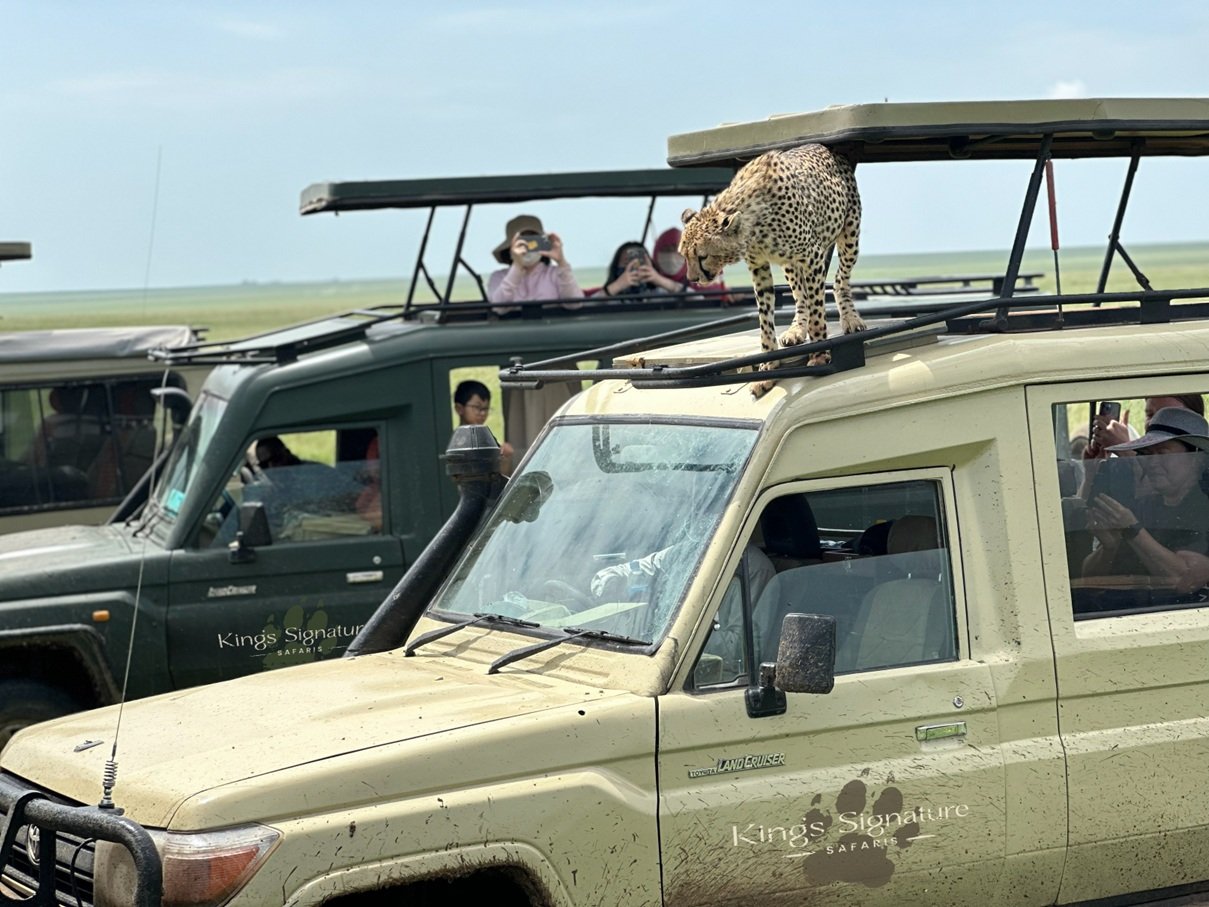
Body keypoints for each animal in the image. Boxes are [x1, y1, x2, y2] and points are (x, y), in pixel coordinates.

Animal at [679, 143, 865, 397]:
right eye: (683, 255)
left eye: (702, 256)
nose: (693, 279)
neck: (753, 225)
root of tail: (829, 149)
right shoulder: (759, 267)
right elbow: (765, 320)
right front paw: (768, 367)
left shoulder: (813, 257)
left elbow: (818, 313)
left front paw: (819, 354)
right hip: (790, 265)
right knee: (801, 297)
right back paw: (796, 329)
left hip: (849, 235)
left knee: (840, 281)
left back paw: (850, 318)